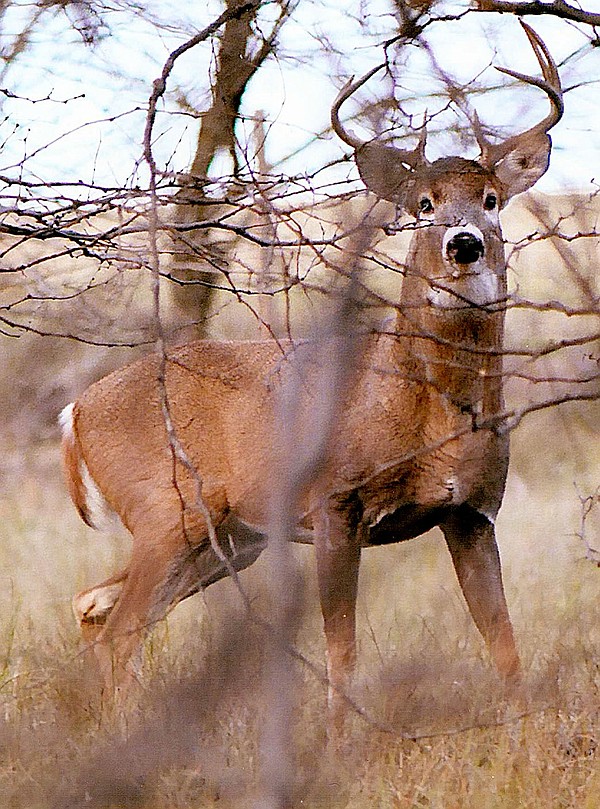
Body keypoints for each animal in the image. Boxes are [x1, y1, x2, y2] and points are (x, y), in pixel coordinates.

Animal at [62, 22, 562, 718]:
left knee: (96, 606)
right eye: (423, 204)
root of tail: (76, 411)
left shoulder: (472, 511)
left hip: (227, 536)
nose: (463, 244)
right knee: (120, 626)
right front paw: (338, 737)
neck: (417, 406)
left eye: (491, 199)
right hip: (167, 510)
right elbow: (341, 655)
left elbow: (505, 646)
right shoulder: (333, 503)